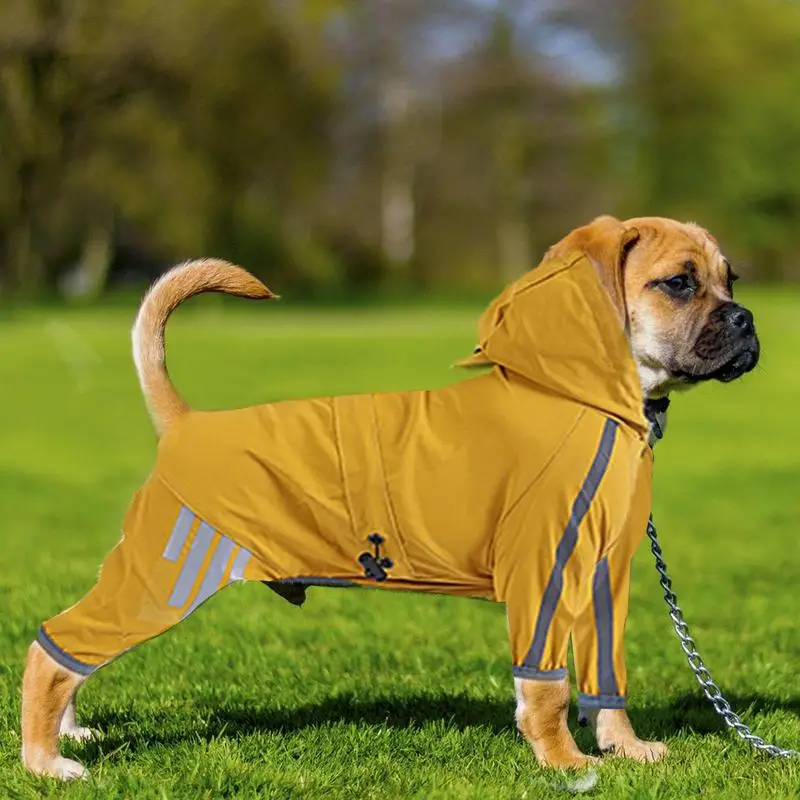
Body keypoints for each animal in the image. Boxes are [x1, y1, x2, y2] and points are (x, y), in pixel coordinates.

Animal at [18, 216, 756, 780]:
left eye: (732, 280)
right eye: (679, 283)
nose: (748, 321)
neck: (583, 398)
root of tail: (185, 424)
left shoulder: (605, 582)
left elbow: (608, 685)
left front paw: (625, 749)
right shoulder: (542, 582)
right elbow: (546, 691)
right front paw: (564, 763)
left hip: (149, 579)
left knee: (73, 651)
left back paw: (69, 735)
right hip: (161, 579)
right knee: (51, 650)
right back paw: (45, 762)